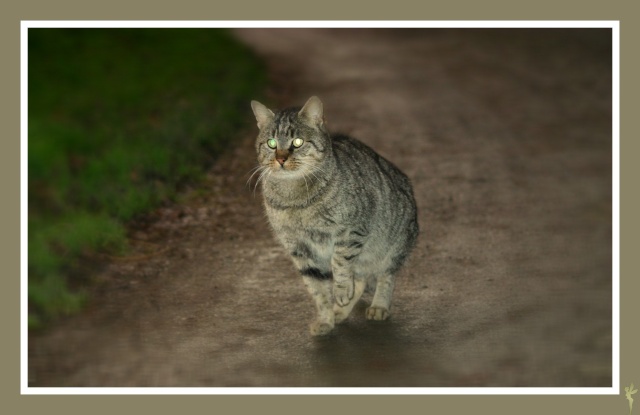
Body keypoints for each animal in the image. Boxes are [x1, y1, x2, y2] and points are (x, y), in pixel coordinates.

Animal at [250, 96, 420, 336]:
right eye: (272, 143)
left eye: (298, 142)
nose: (281, 159)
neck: (294, 197)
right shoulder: (298, 248)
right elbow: (317, 289)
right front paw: (326, 319)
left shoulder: (351, 230)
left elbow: (339, 263)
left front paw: (340, 291)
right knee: (361, 280)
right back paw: (340, 311)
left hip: (393, 246)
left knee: (385, 275)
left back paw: (379, 305)